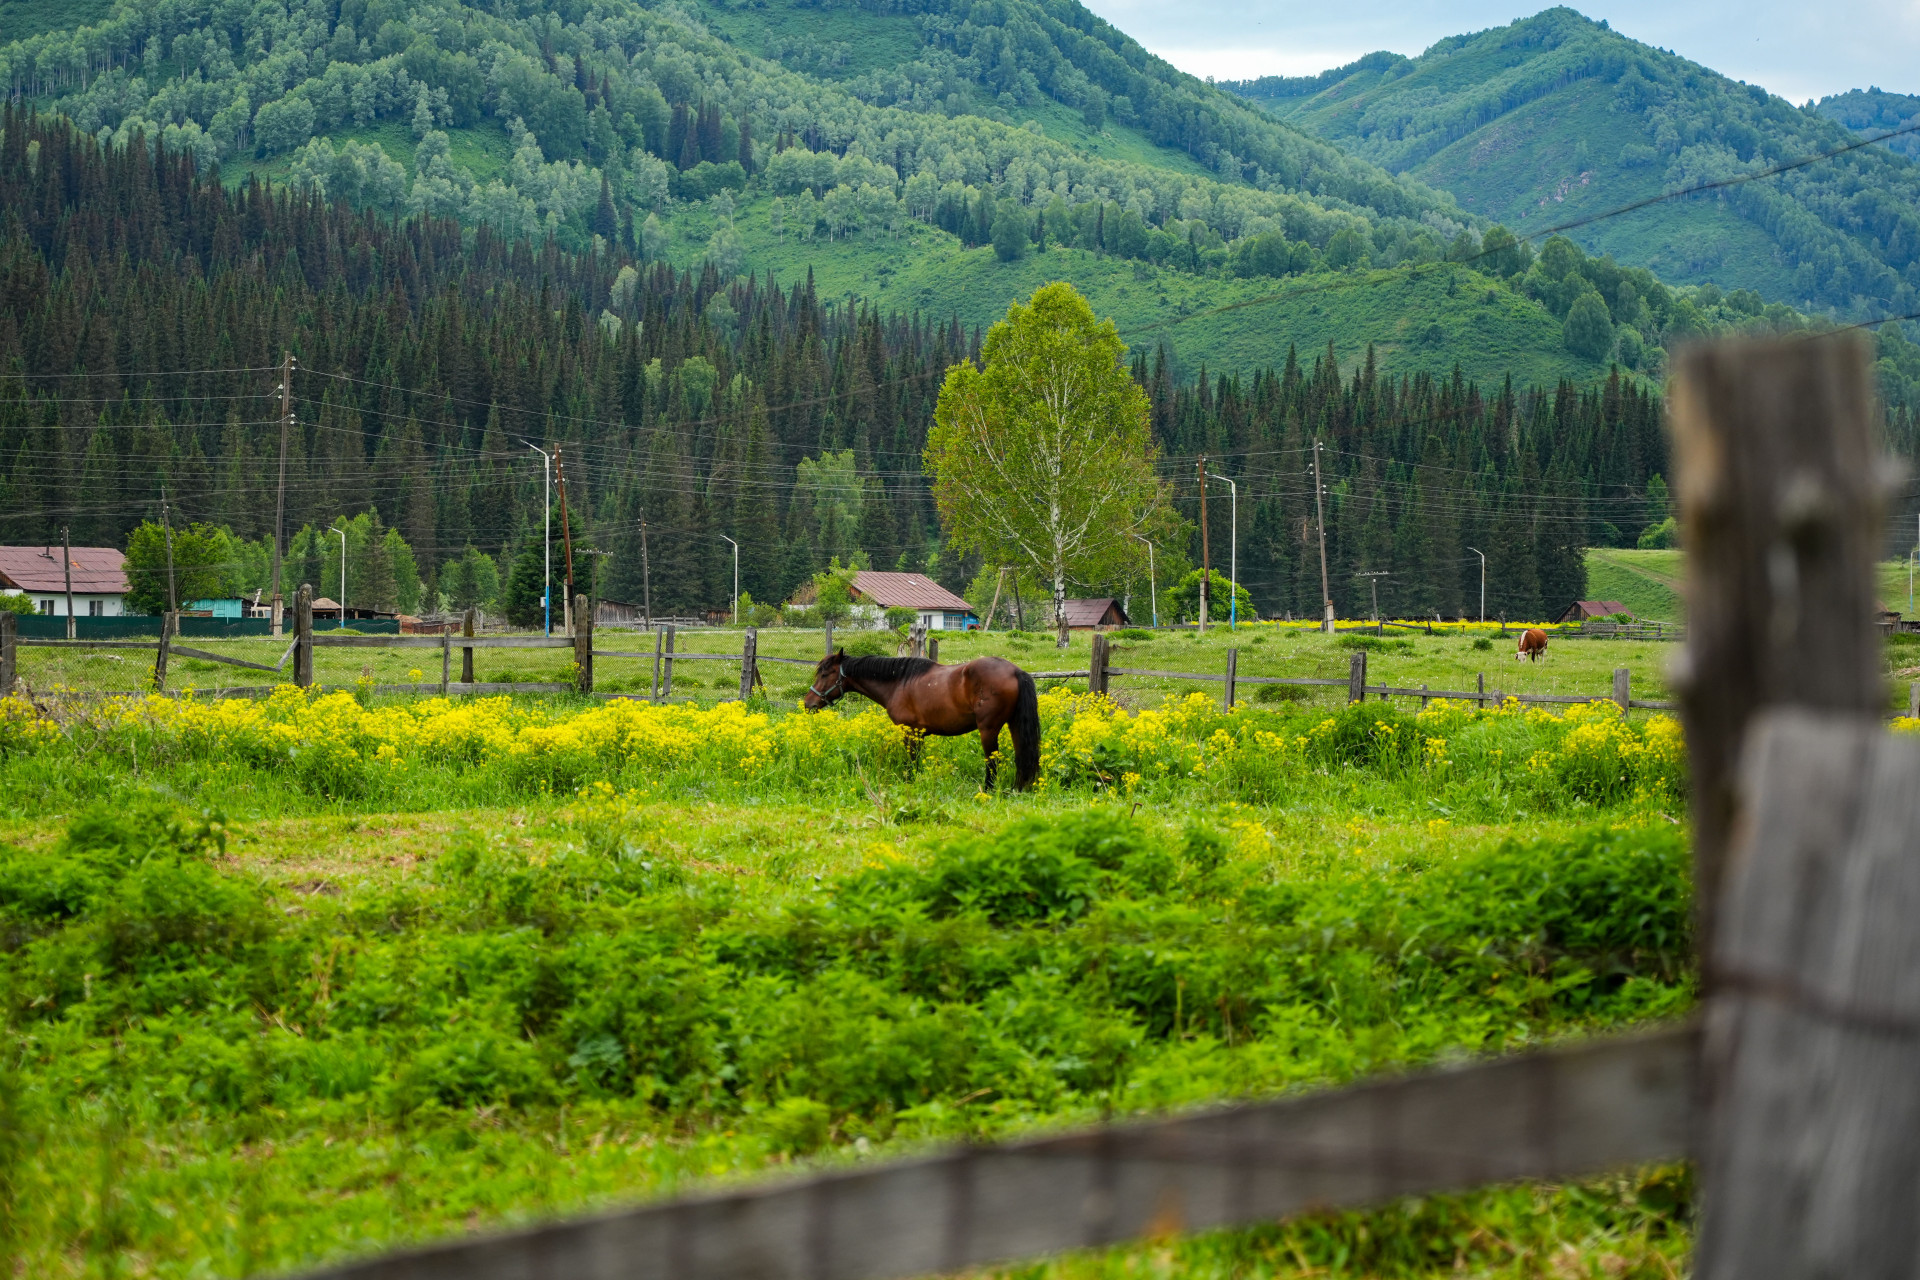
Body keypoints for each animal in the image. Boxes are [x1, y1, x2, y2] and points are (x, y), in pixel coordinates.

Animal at [803, 651, 1041, 791]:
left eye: (825, 674)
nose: (808, 703)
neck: (898, 682)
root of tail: (1015, 671)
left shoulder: (910, 732)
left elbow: (911, 762)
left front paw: (911, 784)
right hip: (1014, 725)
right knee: (1022, 756)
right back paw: (1018, 788)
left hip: (988, 730)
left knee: (992, 761)